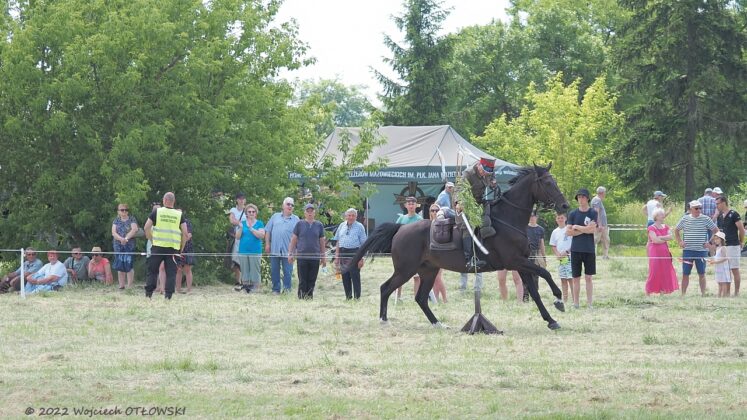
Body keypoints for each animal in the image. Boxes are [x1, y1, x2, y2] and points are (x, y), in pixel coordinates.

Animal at [345, 164, 570, 330]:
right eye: (548, 182)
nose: (565, 206)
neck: (509, 218)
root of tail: (401, 228)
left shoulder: (521, 263)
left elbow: (535, 290)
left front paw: (551, 320)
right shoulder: (515, 261)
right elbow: (545, 274)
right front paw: (559, 299)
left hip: (428, 271)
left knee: (421, 298)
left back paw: (437, 323)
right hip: (405, 270)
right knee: (386, 288)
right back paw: (383, 319)